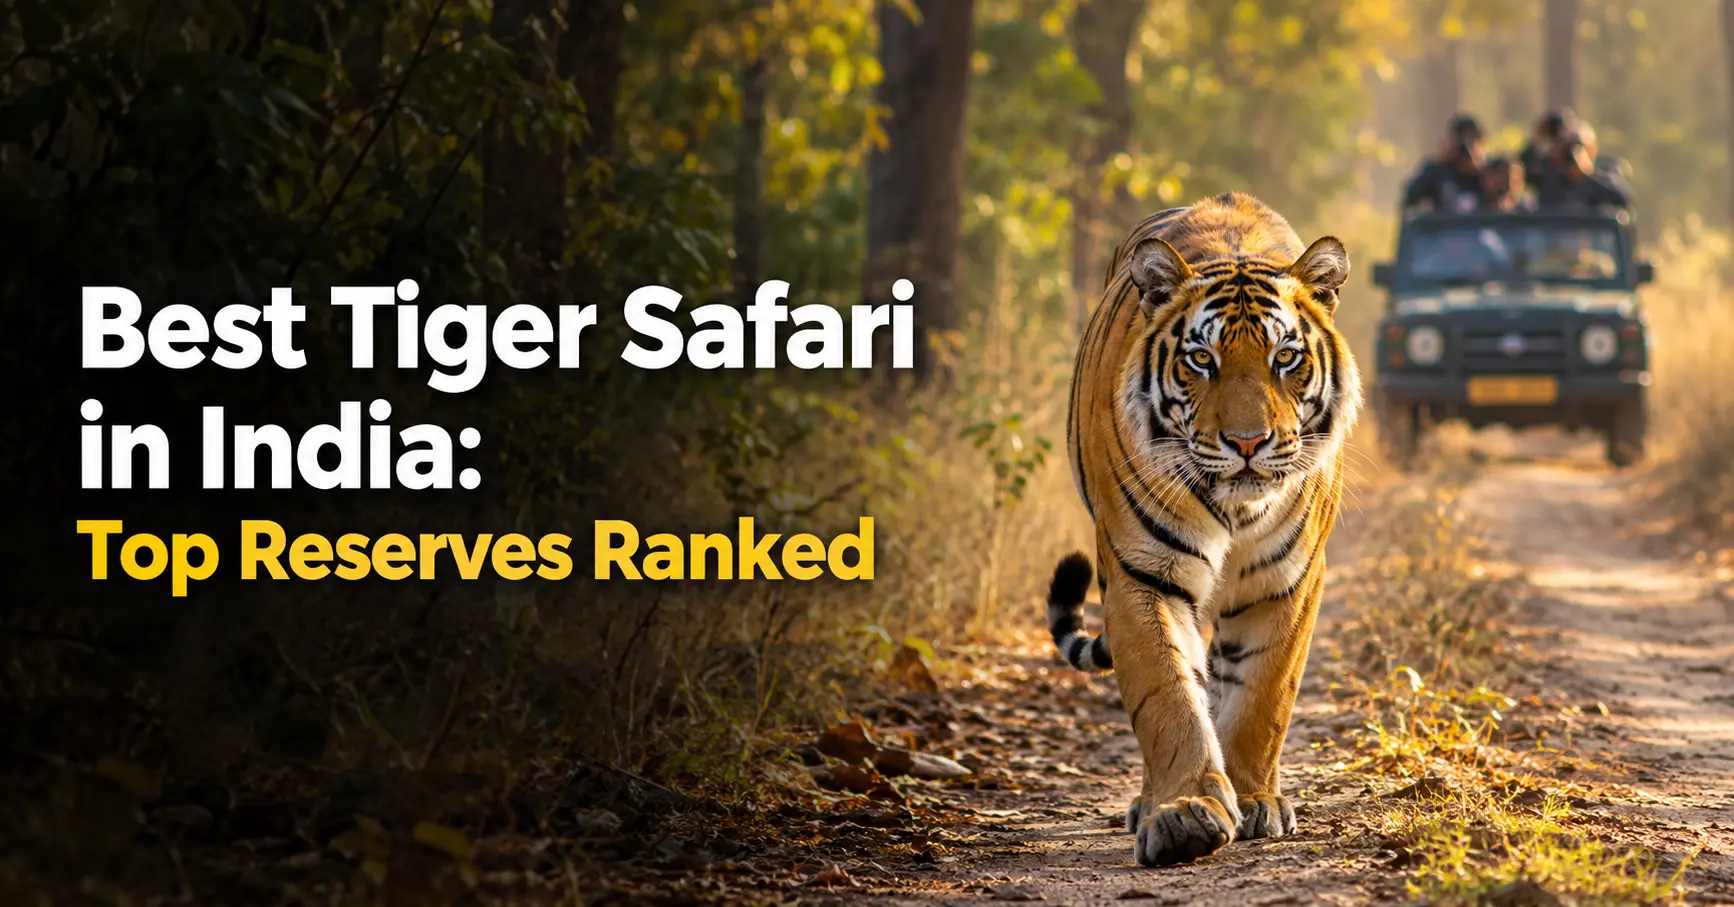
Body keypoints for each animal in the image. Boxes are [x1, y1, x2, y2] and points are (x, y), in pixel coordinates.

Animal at [1046, 192, 1361, 867]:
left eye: (1285, 358)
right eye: (1201, 359)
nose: (1247, 442)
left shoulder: (1287, 581)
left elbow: (1263, 697)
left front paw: (1255, 800)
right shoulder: (1141, 574)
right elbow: (1167, 695)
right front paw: (1184, 811)